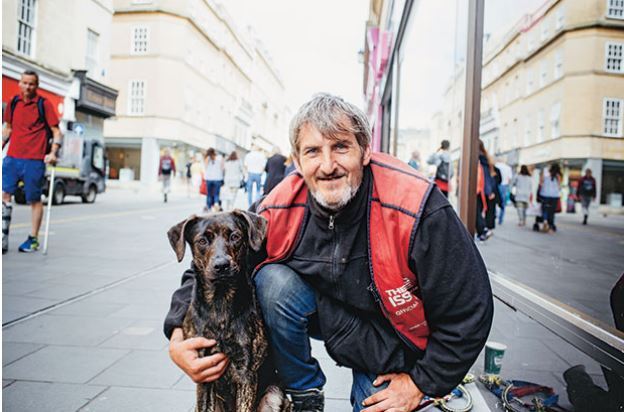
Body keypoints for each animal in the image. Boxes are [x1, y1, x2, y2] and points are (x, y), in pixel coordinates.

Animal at [168, 211, 290, 410]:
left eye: (235, 237)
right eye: (202, 241)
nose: (222, 265)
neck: (221, 300)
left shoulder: (246, 373)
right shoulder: (202, 372)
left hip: (275, 395)